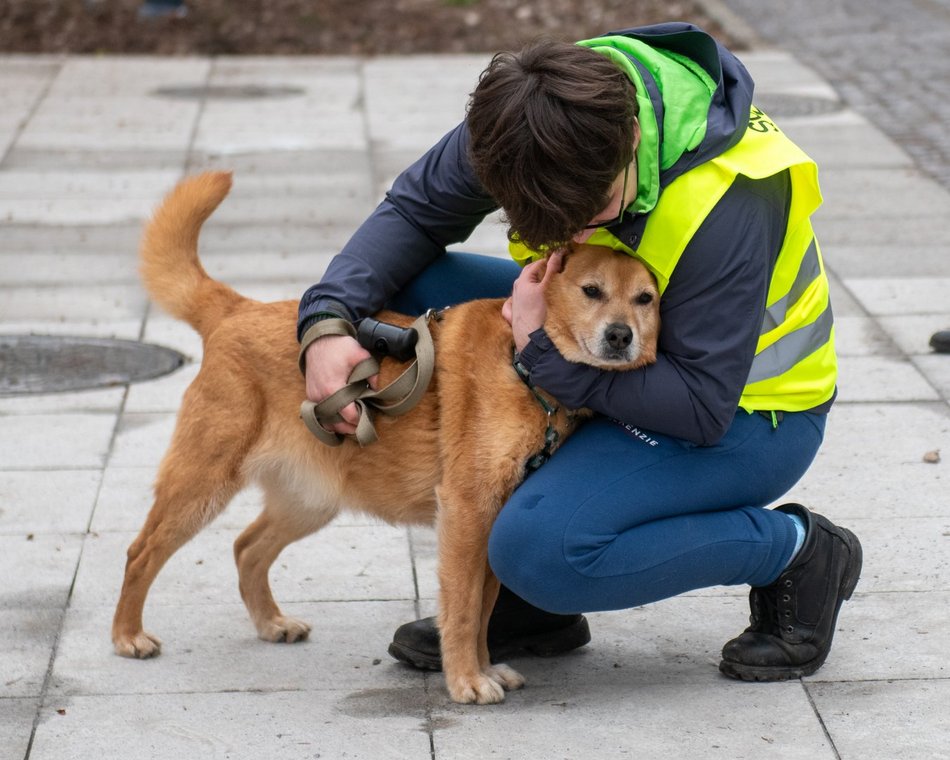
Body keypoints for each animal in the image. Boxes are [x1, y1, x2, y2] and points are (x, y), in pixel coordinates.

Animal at [113, 172, 660, 708]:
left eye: (645, 300)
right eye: (591, 291)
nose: (620, 336)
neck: (524, 363)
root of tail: (235, 311)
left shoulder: (491, 523)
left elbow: (484, 609)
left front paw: (484, 668)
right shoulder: (466, 513)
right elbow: (464, 609)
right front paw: (466, 679)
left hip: (309, 499)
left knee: (247, 547)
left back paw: (270, 622)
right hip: (202, 484)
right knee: (141, 551)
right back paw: (127, 635)